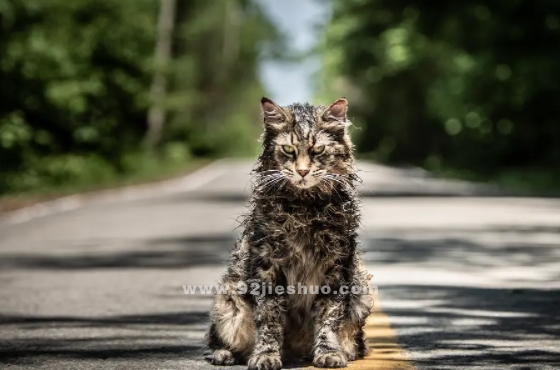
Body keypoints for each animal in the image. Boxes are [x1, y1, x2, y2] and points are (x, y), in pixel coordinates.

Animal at [206, 97, 372, 368]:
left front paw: (328, 352)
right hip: (228, 301)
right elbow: (269, 319)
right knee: (219, 339)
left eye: (318, 151)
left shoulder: (336, 266)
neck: (304, 209)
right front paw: (266, 355)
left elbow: (329, 317)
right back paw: (224, 354)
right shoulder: (267, 265)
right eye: (288, 150)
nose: (302, 171)